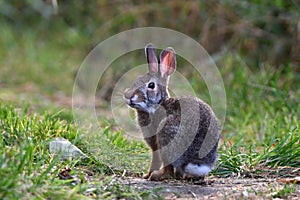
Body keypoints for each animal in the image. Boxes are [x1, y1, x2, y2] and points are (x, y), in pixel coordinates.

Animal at [123, 43, 219, 181]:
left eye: (151, 85)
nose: (128, 96)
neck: (158, 104)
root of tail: (195, 160)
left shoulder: (155, 143)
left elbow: (155, 159)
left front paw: (147, 175)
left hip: (166, 135)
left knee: (168, 169)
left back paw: (157, 175)